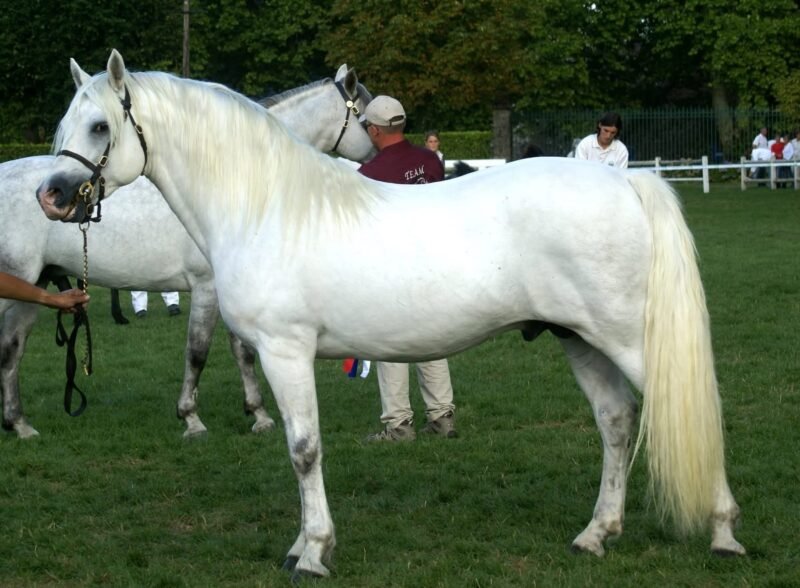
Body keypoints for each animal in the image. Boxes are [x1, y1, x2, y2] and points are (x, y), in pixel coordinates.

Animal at [1, 62, 373, 439]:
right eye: (366, 118)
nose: (374, 154)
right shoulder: (207, 288)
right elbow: (198, 351)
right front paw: (191, 418)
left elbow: (242, 351)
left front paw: (258, 413)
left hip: (35, 287)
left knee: (12, 349)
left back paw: (19, 424)